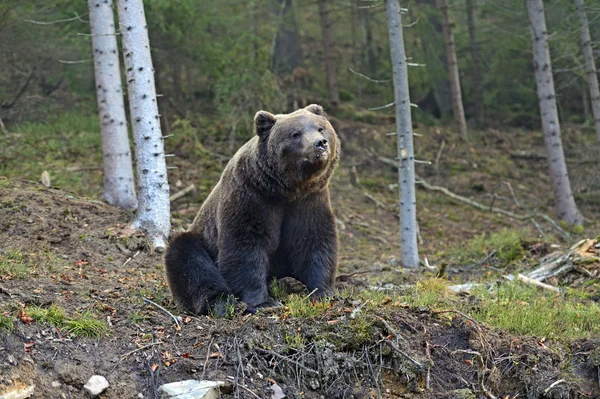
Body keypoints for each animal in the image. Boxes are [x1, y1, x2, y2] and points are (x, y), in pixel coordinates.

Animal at [164, 104, 340, 316]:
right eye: (296, 134)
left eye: (321, 128)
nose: (320, 143)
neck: (286, 190)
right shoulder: (251, 197)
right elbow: (245, 246)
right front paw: (263, 302)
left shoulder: (309, 201)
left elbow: (314, 241)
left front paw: (322, 293)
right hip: (200, 238)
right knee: (189, 259)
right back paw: (223, 302)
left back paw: (289, 283)